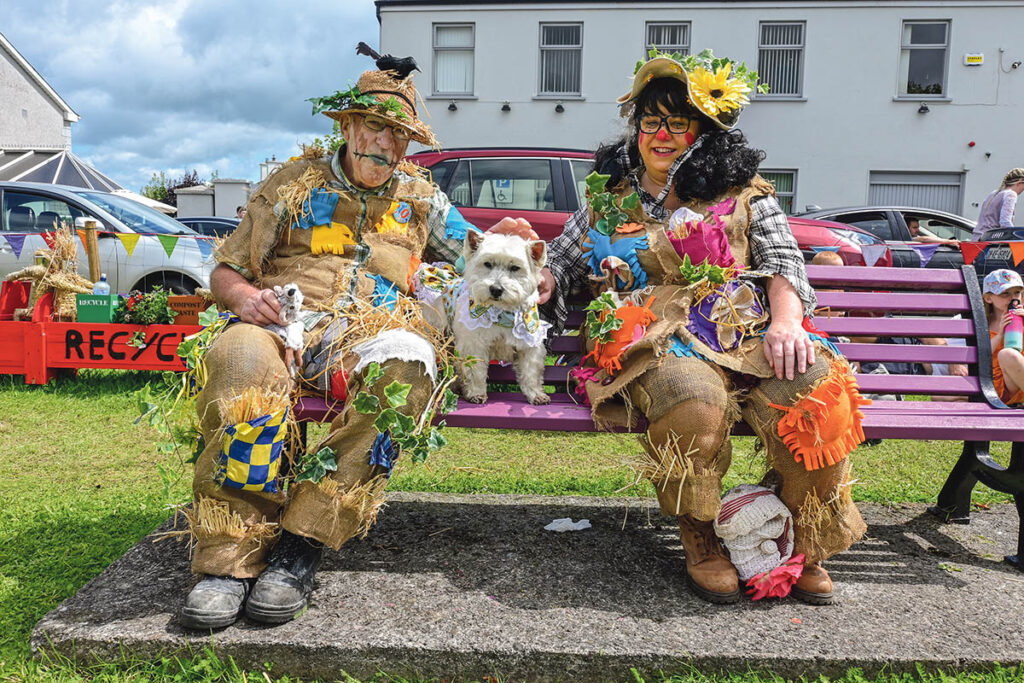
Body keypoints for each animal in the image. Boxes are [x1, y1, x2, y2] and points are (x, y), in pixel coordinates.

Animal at [415, 233, 552, 405]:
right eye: (487, 264)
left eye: (515, 268)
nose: (496, 289)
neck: (502, 313)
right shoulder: (474, 344)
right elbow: (475, 371)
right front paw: (476, 394)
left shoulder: (529, 345)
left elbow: (531, 373)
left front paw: (537, 395)